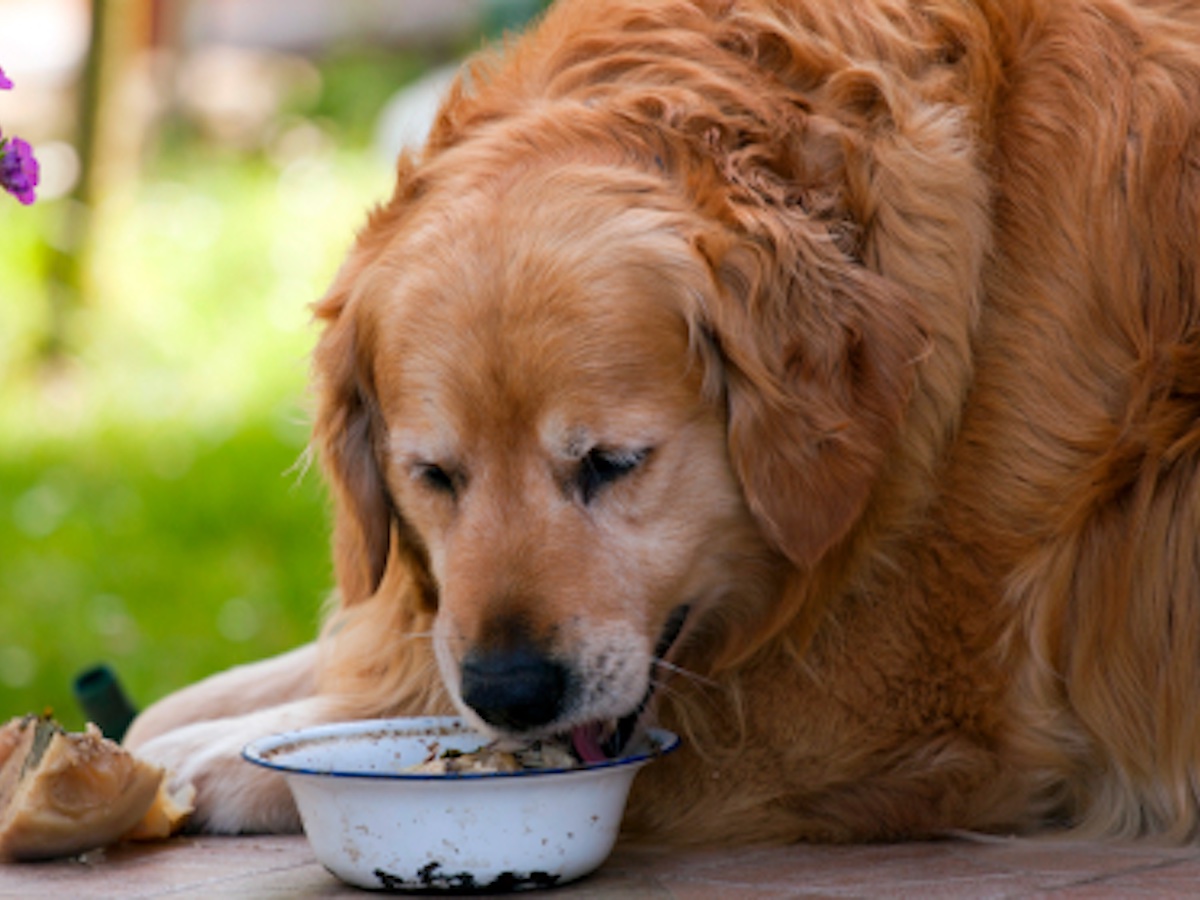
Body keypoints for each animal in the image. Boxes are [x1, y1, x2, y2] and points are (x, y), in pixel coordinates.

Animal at [124, 0, 1200, 844]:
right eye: (433, 476)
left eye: (613, 462)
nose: (511, 689)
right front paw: (160, 730)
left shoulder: (889, 718)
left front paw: (212, 760)